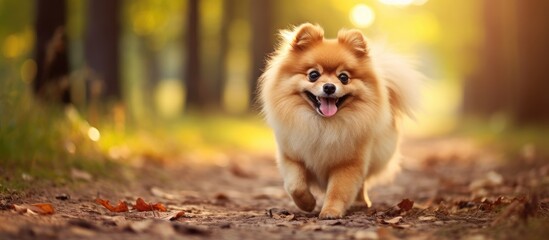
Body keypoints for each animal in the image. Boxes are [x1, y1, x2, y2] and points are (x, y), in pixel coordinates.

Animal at [256, 23, 420, 219]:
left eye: (344, 77)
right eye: (313, 75)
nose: (329, 87)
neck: (323, 125)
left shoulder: (348, 163)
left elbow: (338, 190)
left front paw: (330, 212)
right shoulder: (291, 156)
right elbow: (295, 186)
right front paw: (308, 203)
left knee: (361, 183)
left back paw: (361, 202)